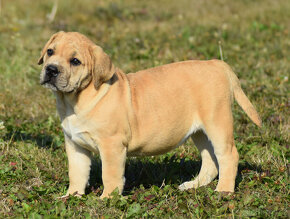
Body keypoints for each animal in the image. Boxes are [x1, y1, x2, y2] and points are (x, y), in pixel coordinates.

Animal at [37, 31, 262, 198]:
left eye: (75, 61)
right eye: (50, 51)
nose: (51, 69)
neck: (74, 100)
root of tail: (216, 63)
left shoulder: (112, 145)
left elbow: (110, 175)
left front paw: (106, 200)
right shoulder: (75, 145)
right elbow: (77, 173)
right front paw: (71, 197)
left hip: (217, 123)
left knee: (228, 155)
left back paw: (223, 191)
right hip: (200, 132)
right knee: (210, 160)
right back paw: (193, 185)